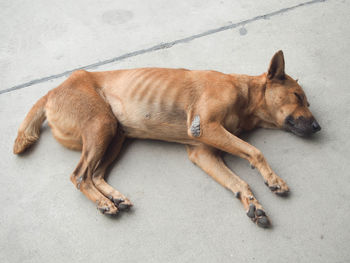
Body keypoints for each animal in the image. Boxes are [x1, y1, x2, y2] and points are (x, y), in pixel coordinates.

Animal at [13, 51, 320, 229]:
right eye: (297, 96)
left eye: (305, 100)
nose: (318, 127)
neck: (244, 93)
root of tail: (52, 91)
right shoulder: (206, 127)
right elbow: (255, 152)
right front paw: (273, 179)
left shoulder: (203, 153)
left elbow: (239, 182)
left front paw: (253, 204)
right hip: (101, 125)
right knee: (79, 176)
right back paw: (103, 203)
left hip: (115, 135)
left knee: (95, 174)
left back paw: (114, 197)